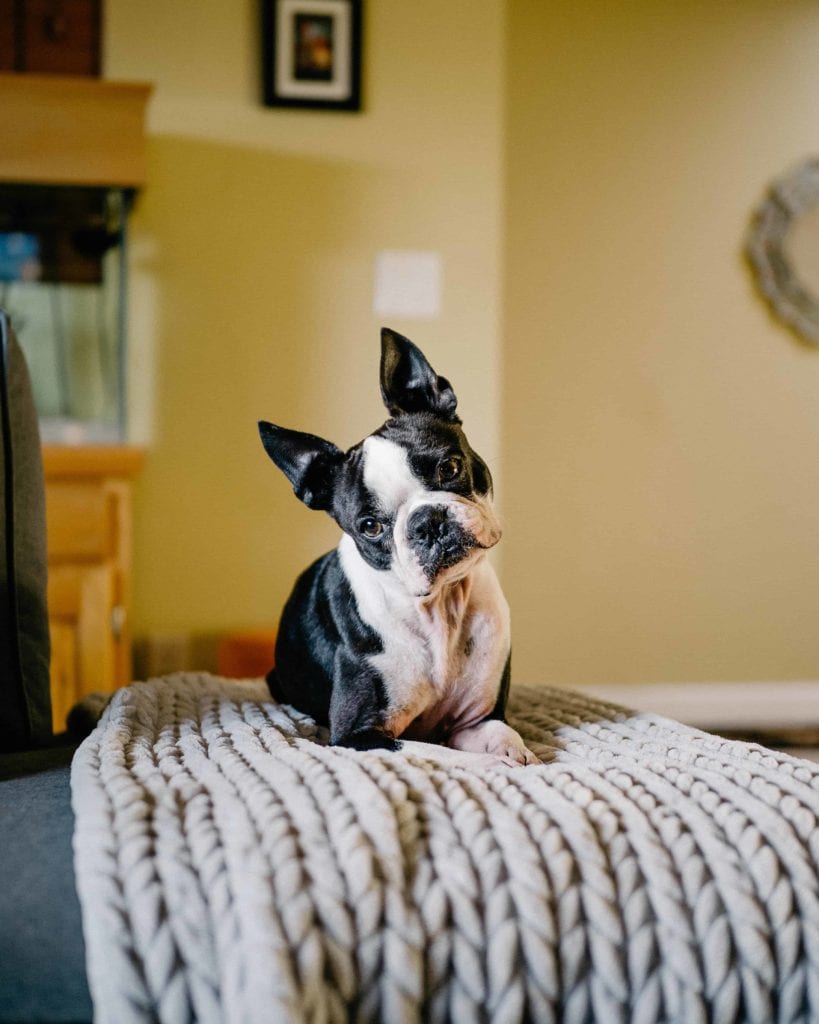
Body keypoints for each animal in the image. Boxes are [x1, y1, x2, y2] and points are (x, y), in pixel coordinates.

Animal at [257, 331, 536, 765]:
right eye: (371, 527)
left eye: (449, 468)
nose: (427, 522)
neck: (441, 608)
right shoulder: (359, 733)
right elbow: (441, 753)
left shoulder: (478, 720)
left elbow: (505, 737)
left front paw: (518, 755)